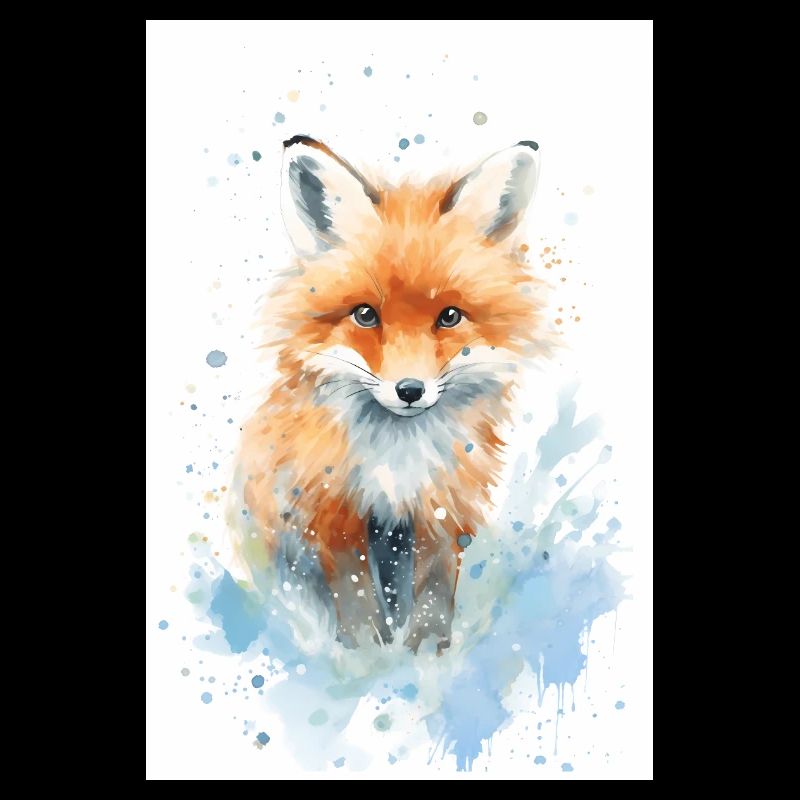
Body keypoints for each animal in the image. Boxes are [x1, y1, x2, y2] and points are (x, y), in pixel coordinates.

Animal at [233, 134, 549, 654]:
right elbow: (356, 591)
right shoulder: (332, 508)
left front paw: (425, 651)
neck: (398, 459)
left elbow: (435, 587)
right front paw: (367, 653)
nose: (410, 390)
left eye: (449, 316)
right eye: (365, 315)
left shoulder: (443, 504)